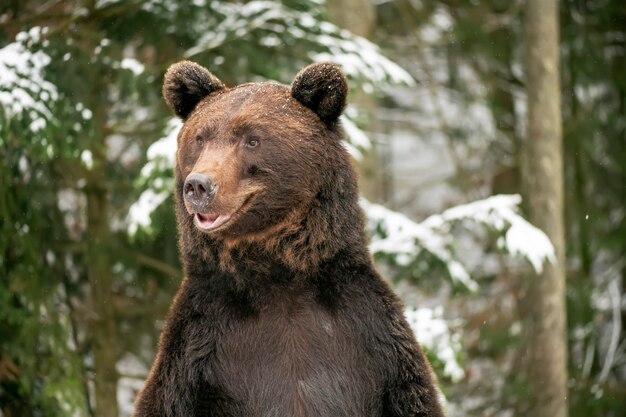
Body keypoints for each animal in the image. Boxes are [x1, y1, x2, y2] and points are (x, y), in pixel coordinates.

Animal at [132, 59, 444, 416]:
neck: (280, 277)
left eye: (252, 139)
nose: (199, 185)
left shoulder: (377, 346)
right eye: (200, 138)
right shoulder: (195, 356)